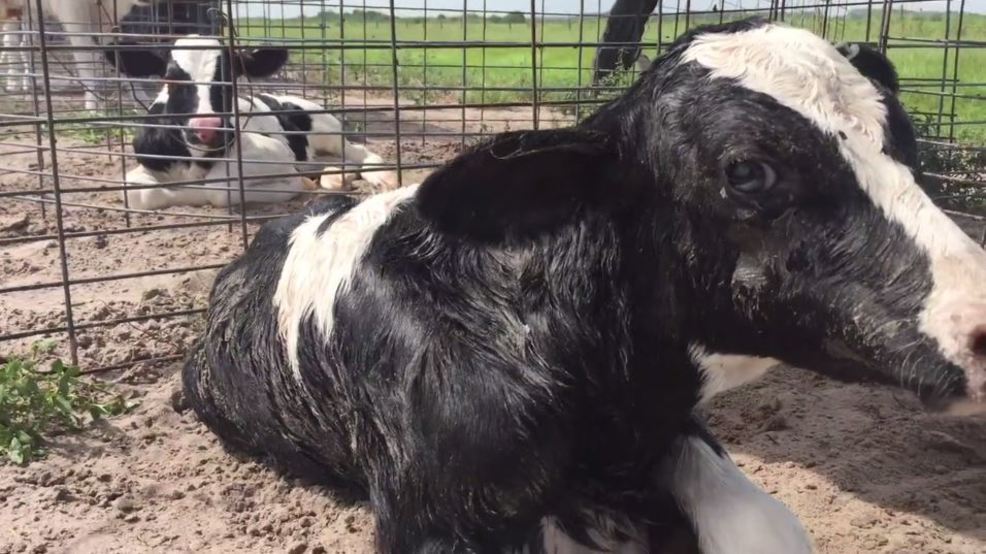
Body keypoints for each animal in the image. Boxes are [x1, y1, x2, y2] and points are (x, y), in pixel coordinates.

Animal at [108, 36, 398, 210]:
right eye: (171, 79)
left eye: (232, 78)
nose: (207, 128)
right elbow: (134, 191)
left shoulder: (277, 153)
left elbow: (219, 188)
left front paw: (296, 184)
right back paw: (334, 177)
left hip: (326, 130)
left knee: (356, 151)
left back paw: (379, 175)